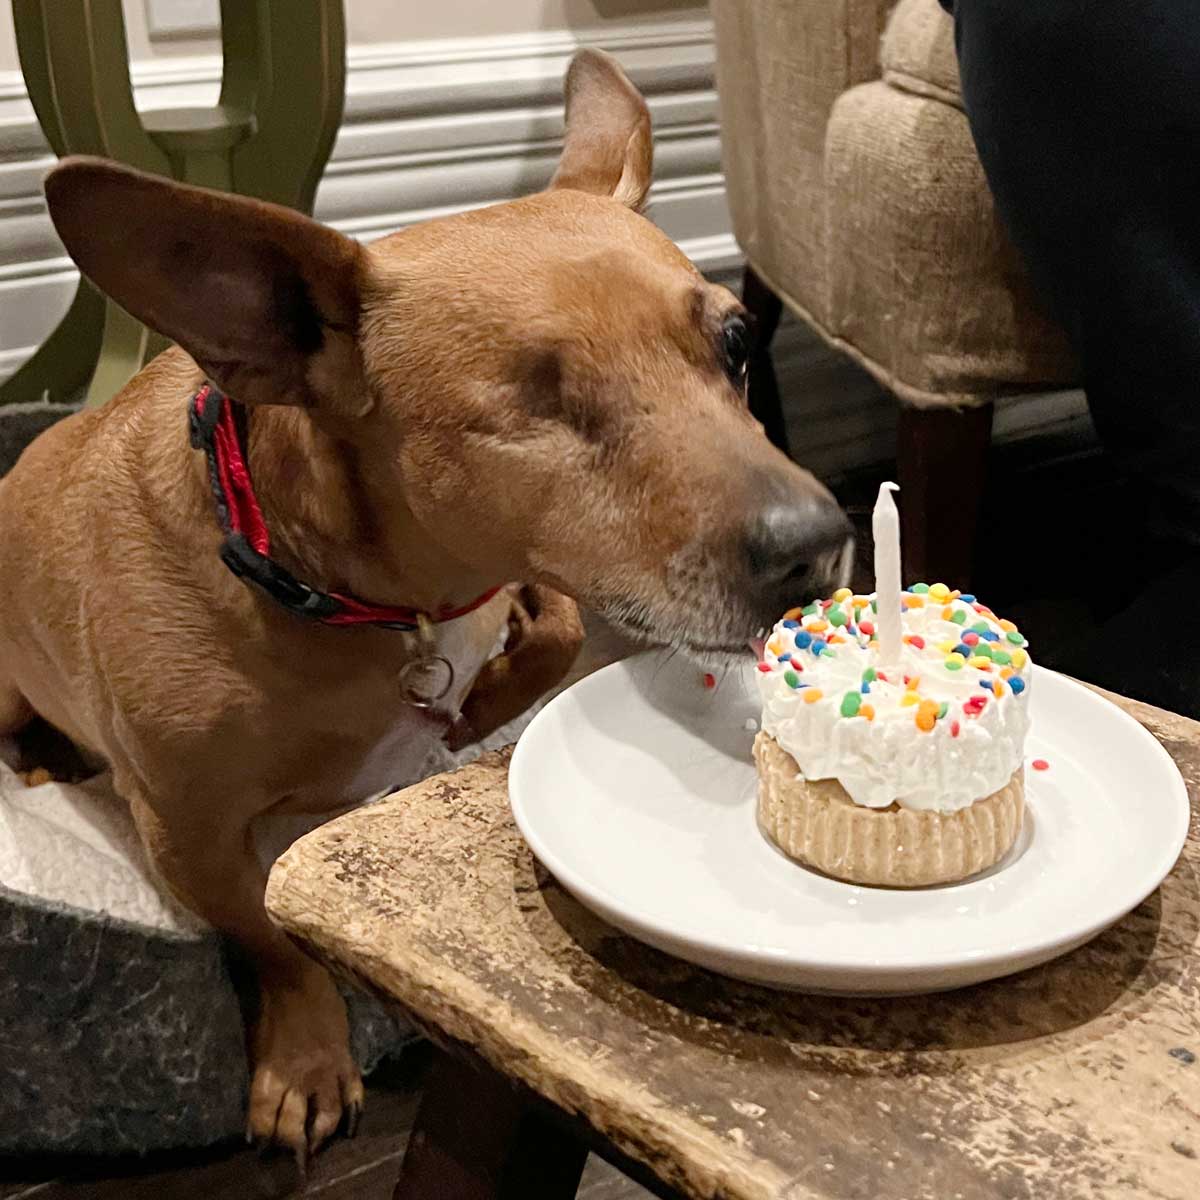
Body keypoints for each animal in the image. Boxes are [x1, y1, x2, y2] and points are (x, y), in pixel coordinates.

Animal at [0, 51, 849, 1156]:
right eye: (537, 402)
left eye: (739, 342)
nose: (819, 547)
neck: (346, 591)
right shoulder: (184, 836)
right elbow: (273, 940)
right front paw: (308, 1056)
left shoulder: (516, 577)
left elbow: (554, 629)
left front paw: (479, 705)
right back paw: (40, 758)